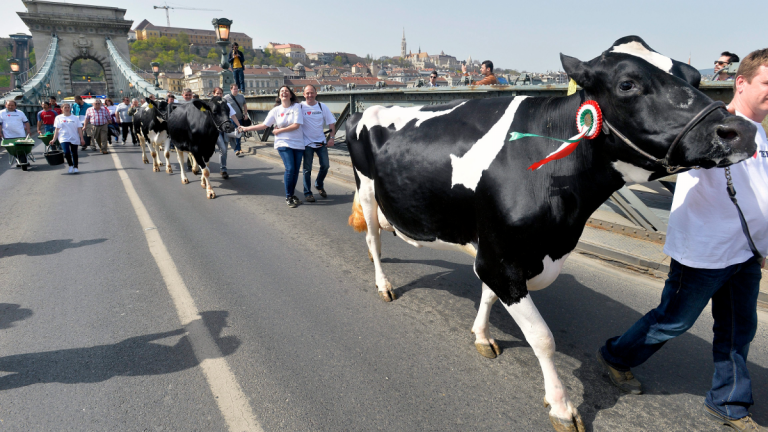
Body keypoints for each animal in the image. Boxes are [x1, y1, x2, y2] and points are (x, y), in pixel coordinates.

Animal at [344, 35, 756, 430]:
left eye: (695, 77)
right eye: (627, 84)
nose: (741, 131)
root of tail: (364, 111)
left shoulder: (499, 252)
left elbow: (489, 297)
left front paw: (482, 335)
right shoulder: (501, 260)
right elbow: (542, 338)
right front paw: (561, 406)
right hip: (367, 191)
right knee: (373, 240)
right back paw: (383, 284)